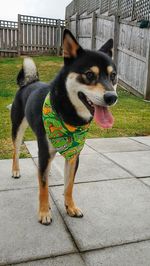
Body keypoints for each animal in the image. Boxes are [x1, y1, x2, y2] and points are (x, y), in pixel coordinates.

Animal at [11, 28, 118, 224]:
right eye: (89, 75)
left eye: (112, 76)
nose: (111, 97)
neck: (69, 118)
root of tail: (29, 82)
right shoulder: (45, 151)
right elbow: (43, 187)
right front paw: (44, 212)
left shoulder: (74, 154)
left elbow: (69, 185)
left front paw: (71, 207)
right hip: (18, 128)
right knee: (16, 151)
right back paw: (16, 170)